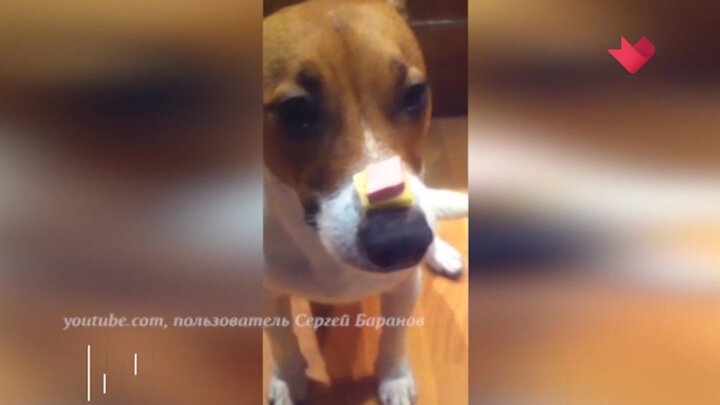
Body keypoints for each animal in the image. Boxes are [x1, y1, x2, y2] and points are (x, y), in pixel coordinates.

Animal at [263, 1, 468, 403]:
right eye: (295, 111)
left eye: (415, 94)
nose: (402, 242)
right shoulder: (268, 293)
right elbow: (282, 340)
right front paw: (288, 379)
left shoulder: (404, 285)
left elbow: (395, 336)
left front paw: (394, 377)